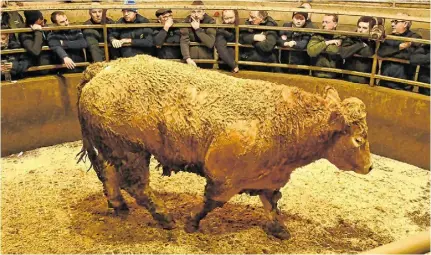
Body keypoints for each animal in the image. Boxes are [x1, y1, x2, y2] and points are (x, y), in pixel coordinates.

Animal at [77, 54, 372, 239]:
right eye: (358, 139)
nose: (370, 166)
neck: (286, 120)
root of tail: (103, 69)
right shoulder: (224, 175)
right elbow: (212, 201)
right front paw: (192, 222)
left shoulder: (268, 176)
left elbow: (271, 203)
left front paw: (279, 229)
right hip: (131, 150)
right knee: (136, 185)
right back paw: (164, 217)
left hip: (113, 146)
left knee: (110, 175)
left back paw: (118, 205)